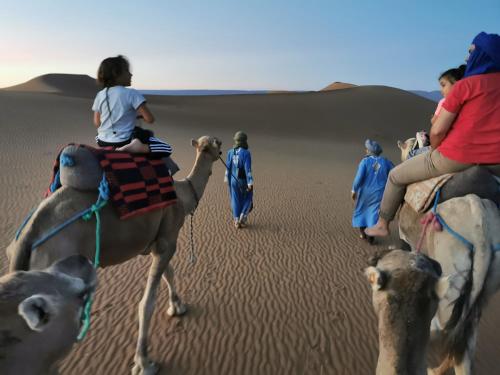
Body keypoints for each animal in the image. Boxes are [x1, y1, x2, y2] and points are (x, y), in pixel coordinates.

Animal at [6, 137, 222, 374]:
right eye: (217, 143)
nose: (222, 149)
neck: (184, 195)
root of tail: (27, 237)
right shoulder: (168, 240)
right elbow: (147, 303)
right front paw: (144, 363)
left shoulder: (157, 243)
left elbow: (169, 274)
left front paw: (177, 307)